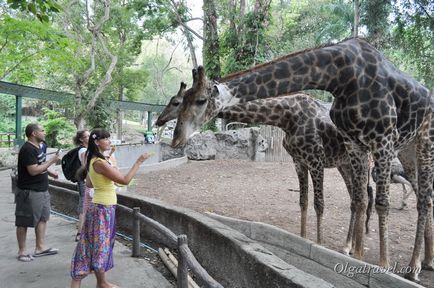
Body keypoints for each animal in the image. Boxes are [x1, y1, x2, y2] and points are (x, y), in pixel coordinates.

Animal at [171, 37, 432, 282]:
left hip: (421, 142)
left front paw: (378, 264)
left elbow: (355, 203)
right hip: (395, 153)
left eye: (200, 100)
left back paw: (414, 268)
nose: (175, 137)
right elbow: (316, 201)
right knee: (397, 196)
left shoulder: (374, 143)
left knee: (420, 198)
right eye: (180, 101)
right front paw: (346, 253)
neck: (340, 76)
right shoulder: (340, 148)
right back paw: (424, 259)